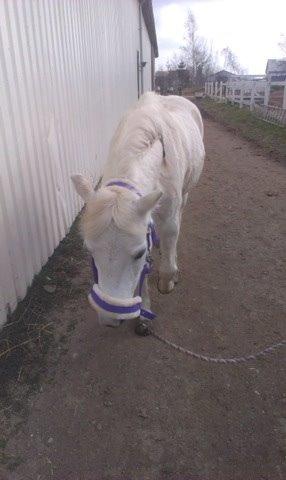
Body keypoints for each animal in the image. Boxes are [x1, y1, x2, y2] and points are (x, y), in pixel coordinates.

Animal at [72, 91, 206, 330]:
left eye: (139, 253)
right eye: (89, 250)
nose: (110, 319)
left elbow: (166, 262)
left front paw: (168, 280)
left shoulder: (168, 220)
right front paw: (144, 313)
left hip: (185, 194)